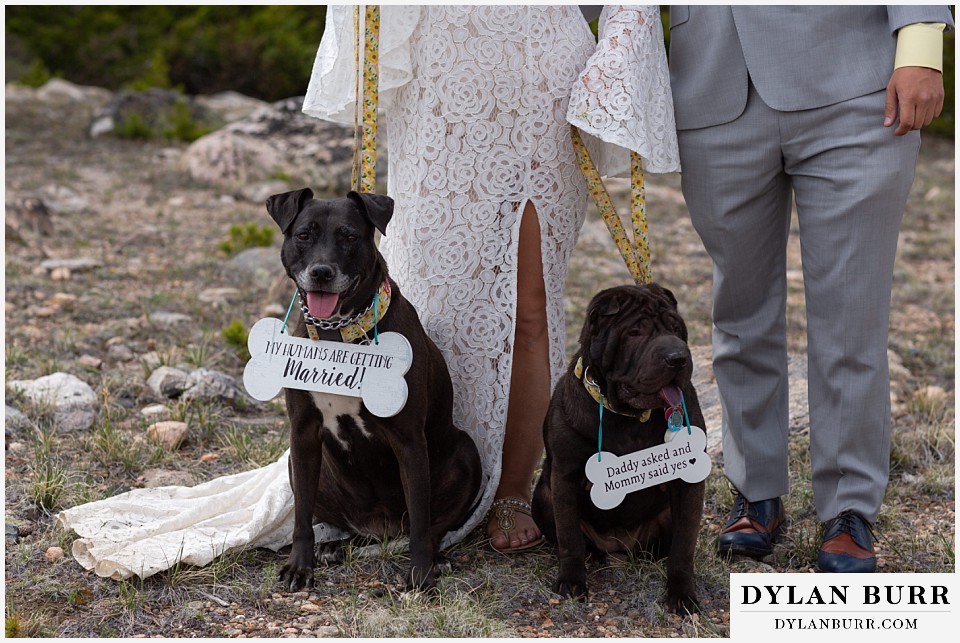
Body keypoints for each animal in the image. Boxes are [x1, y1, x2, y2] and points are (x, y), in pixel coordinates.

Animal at [266, 187, 484, 592]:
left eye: (350, 236)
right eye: (304, 235)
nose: (322, 273)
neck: (339, 338)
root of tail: (381, 529)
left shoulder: (408, 440)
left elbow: (421, 520)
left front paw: (421, 574)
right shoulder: (302, 433)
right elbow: (302, 516)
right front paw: (300, 567)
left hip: (466, 453)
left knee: (432, 525)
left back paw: (438, 557)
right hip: (300, 466)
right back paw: (334, 545)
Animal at [532, 286, 704, 612]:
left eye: (676, 329)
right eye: (635, 332)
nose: (677, 357)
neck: (629, 418)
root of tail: (617, 546)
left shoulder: (689, 481)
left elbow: (684, 544)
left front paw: (682, 593)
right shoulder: (566, 474)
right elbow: (569, 537)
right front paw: (572, 582)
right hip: (543, 498)